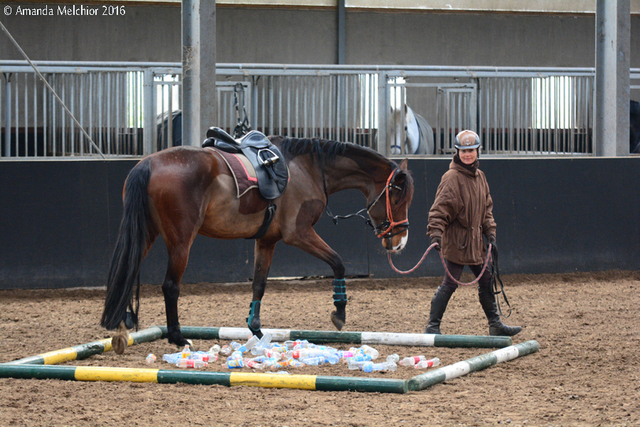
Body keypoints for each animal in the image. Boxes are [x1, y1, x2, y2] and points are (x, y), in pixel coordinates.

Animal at [97, 135, 412, 352]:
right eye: (398, 199)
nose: (400, 243)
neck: (309, 168)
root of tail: (149, 163)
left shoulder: (267, 240)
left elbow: (259, 284)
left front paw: (257, 330)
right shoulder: (298, 233)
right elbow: (338, 263)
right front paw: (339, 312)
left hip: (146, 234)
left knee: (126, 273)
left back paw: (123, 327)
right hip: (180, 241)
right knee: (170, 286)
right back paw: (177, 337)